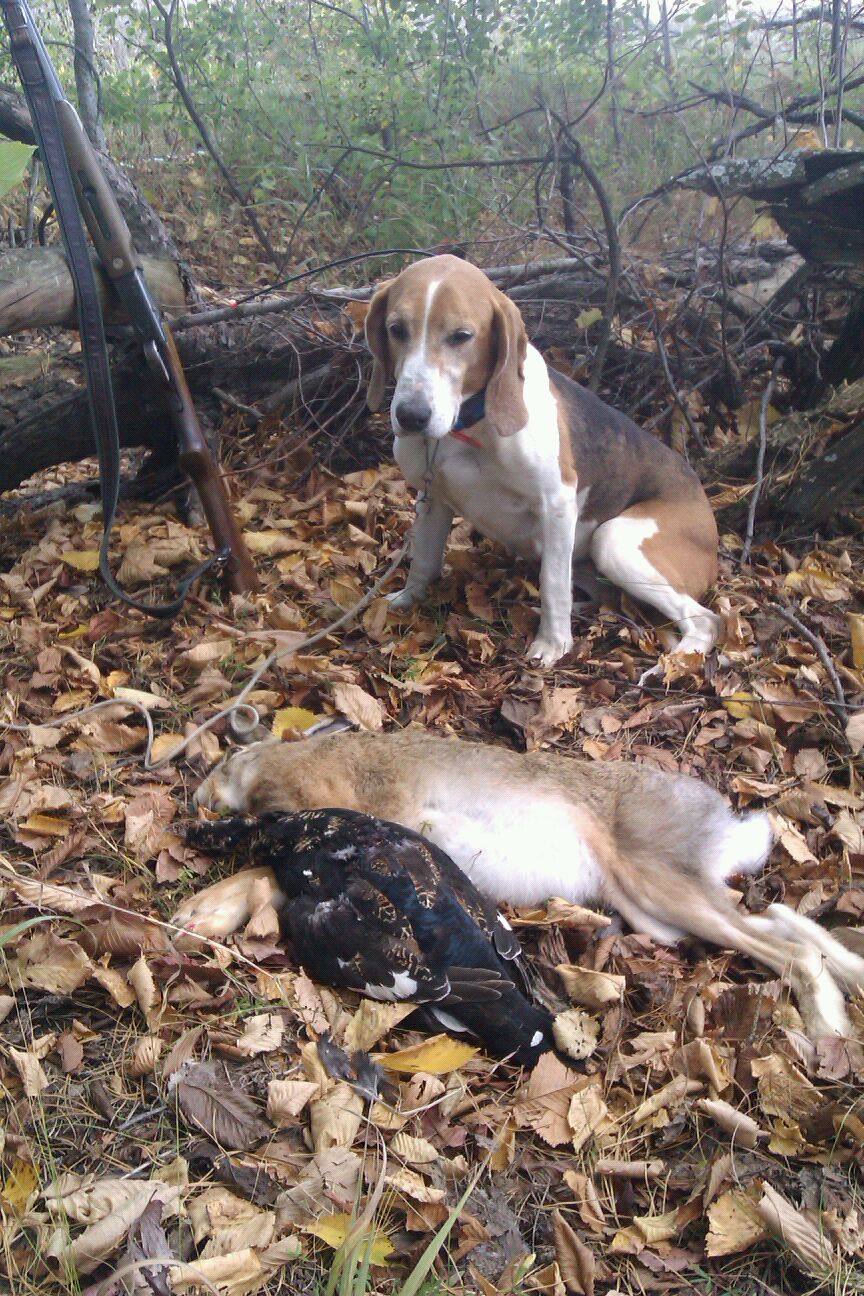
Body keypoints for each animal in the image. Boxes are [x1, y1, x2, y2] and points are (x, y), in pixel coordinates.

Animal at [176, 730, 864, 1041]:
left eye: (229, 761)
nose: (201, 792)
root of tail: (724, 825)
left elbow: (264, 871)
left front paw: (196, 914)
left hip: (658, 883)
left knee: (786, 946)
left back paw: (827, 1025)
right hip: (653, 912)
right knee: (775, 922)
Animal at [365, 256, 725, 673]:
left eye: (461, 336)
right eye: (396, 329)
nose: (411, 416)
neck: (467, 429)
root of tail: (706, 509)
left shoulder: (557, 503)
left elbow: (552, 583)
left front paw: (552, 644)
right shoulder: (431, 498)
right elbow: (424, 558)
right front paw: (407, 602)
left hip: (614, 541)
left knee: (705, 620)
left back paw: (672, 664)